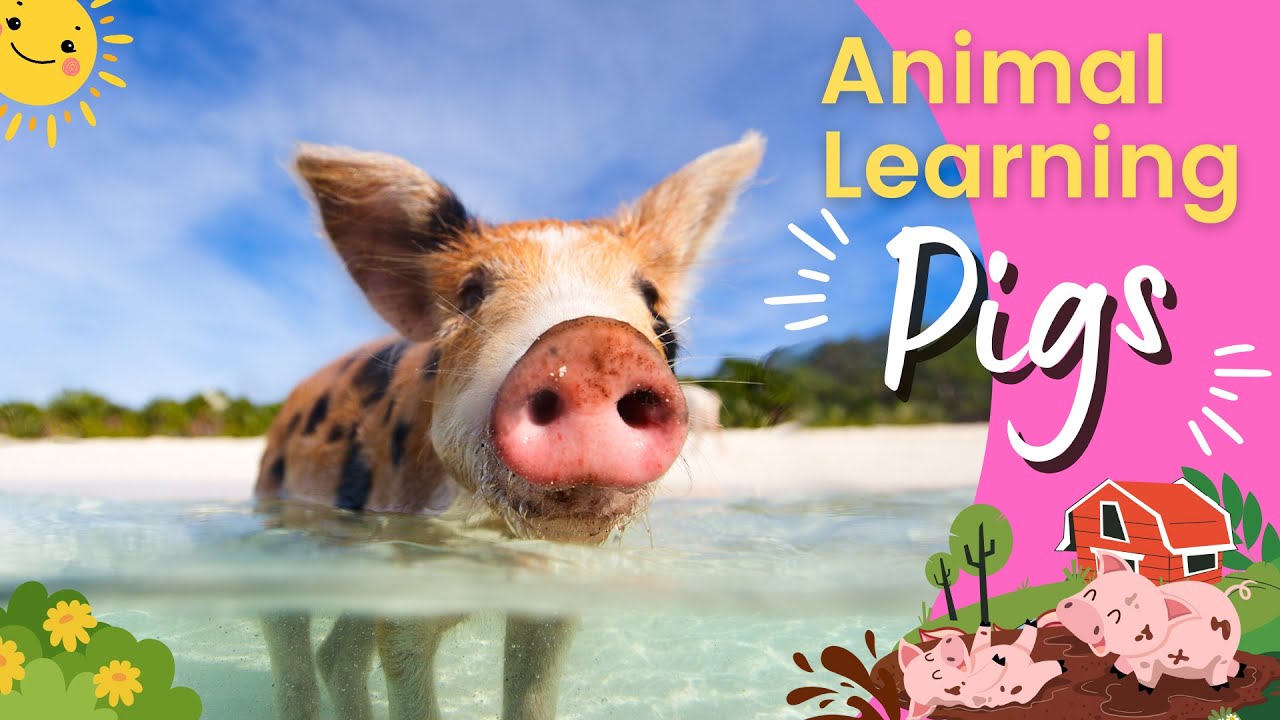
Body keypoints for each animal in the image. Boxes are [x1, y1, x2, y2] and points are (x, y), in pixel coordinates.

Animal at [899, 623, 1066, 720]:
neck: (972, 668)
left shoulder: (978, 650)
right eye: (936, 675)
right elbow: (986, 677)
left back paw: (1031, 624)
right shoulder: (973, 694)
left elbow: (981, 639)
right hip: (1026, 687)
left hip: (1019, 648)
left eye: (929, 657)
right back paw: (1060, 665)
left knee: (1025, 640)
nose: (949, 640)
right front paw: (997, 660)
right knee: (1040, 673)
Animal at [1056, 550, 1245, 693]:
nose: (1085, 612)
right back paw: (1240, 671)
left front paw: (1143, 691)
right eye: (1091, 594)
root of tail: (1226, 597)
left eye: (1116, 616)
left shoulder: (1147, 661)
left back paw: (1221, 687)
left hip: (1224, 655)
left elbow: (1145, 675)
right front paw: (1115, 673)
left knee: (1219, 670)